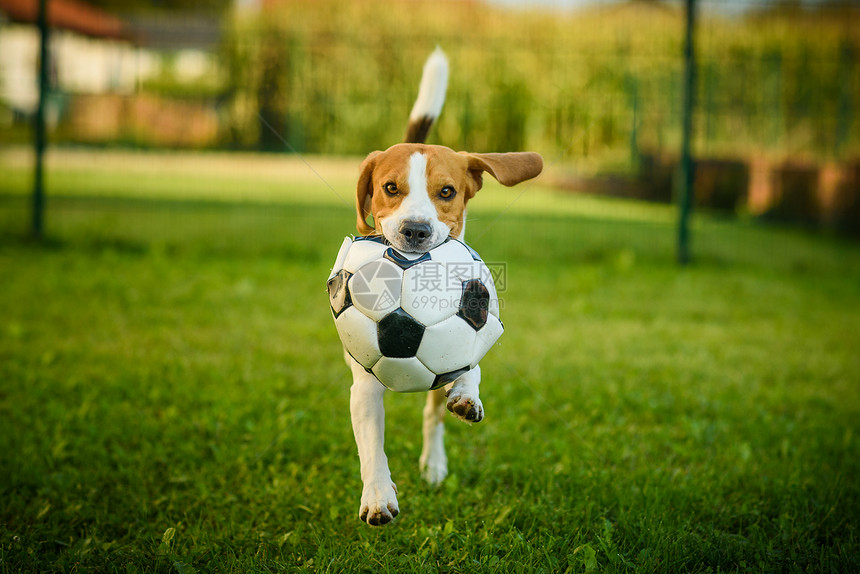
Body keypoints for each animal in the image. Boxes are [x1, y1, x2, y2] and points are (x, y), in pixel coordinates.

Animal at [346, 48, 540, 528]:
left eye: (447, 192)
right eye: (390, 188)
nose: (415, 230)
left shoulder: (470, 337)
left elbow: (471, 370)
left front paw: (467, 395)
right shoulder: (365, 386)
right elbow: (371, 444)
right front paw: (378, 496)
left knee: (432, 415)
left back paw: (434, 464)